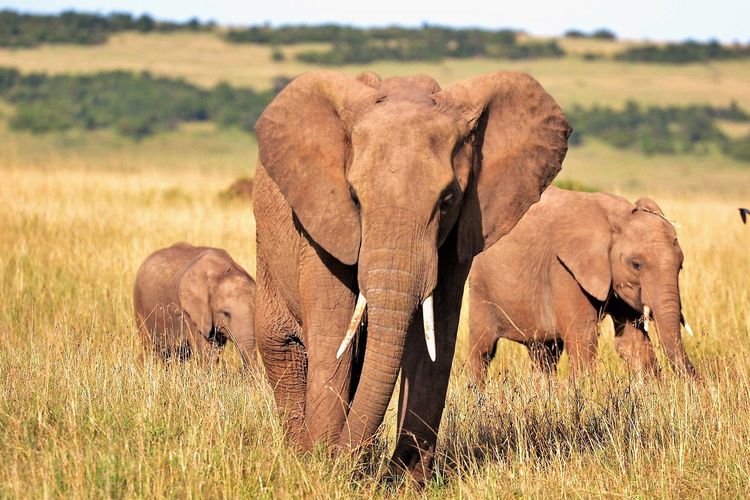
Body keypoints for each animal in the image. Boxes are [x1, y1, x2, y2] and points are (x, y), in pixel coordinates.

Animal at [253, 69, 568, 480]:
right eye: (354, 198)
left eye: (447, 201)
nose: (340, 461)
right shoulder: (321, 223)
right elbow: (333, 330)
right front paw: (322, 467)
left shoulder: (460, 234)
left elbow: (435, 340)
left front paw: (404, 481)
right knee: (283, 347)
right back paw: (299, 454)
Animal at [470, 186, 700, 384]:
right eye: (636, 264)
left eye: (680, 266)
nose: (698, 383)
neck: (616, 218)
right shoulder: (563, 268)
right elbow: (583, 338)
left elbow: (631, 343)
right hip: (480, 285)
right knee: (483, 351)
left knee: (544, 354)